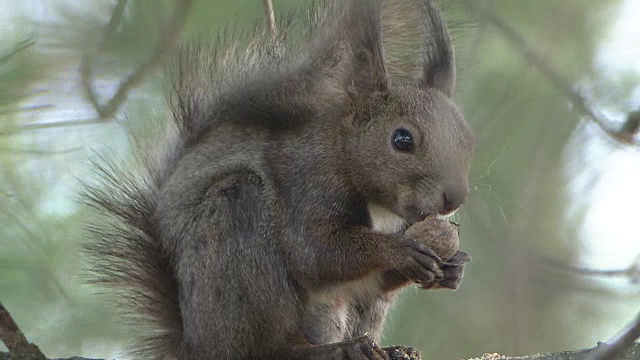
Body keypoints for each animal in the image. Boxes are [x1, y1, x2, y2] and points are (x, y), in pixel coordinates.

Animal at [84, 0, 476, 358]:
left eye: (467, 140)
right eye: (402, 139)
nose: (454, 198)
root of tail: (197, 346)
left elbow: (372, 280)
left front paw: (451, 266)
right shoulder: (309, 183)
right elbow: (317, 254)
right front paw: (399, 249)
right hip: (238, 229)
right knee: (269, 347)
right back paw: (331, 350)